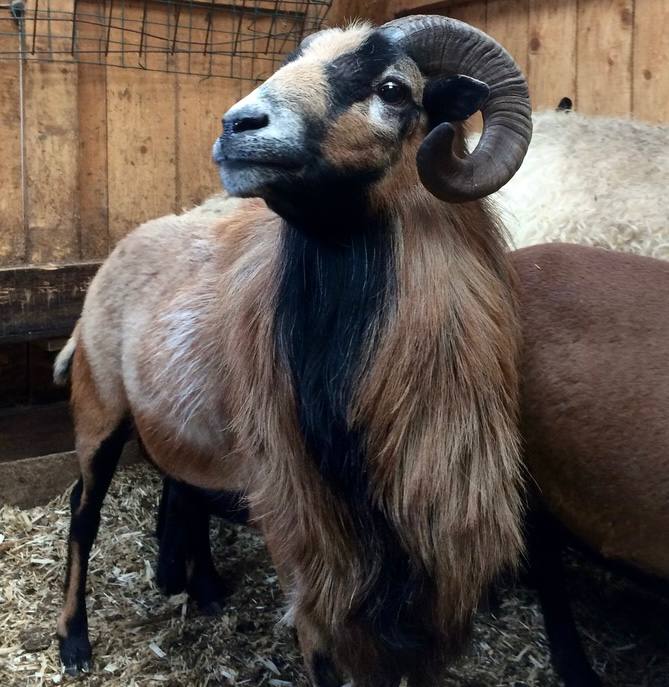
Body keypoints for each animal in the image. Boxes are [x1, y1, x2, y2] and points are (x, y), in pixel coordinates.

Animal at [54, 15, 533, 685]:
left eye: (392, 88)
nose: (237, 125)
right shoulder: (312, 551)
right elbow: (324, 655)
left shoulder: (434, 565)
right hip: (99, 407)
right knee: (83, 510)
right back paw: (74, 642)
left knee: (181, 488)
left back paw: (202, 589)